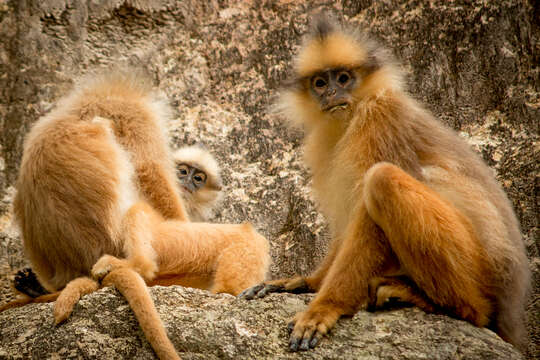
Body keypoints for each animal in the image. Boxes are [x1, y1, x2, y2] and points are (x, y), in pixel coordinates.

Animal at [242, 16, 532, 352]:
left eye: (344, 78)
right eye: (320, 83)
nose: (331, 94)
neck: (354, 114)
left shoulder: (379, 120)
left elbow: (366, 217)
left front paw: (324, 307)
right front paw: (307, 283)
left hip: (480, 268)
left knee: (382, 179)